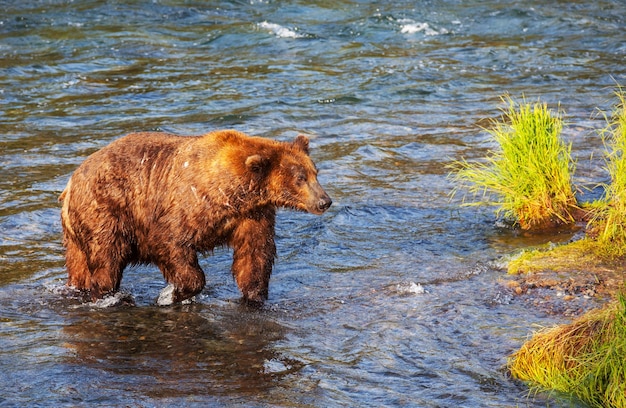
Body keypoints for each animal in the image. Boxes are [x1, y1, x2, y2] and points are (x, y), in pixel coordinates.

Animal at [59, 129, 332, 304]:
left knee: (79, 265)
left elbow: (255, 254)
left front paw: (256, 296)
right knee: (107, 256)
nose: (324, 201)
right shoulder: (188, 205)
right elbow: (172, 243)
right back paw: (108, 294)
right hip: (107, 209)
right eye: (300, 178)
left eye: (314, 172)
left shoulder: (251, 215)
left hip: (77, 233)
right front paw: (172, 294)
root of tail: (71, 182)